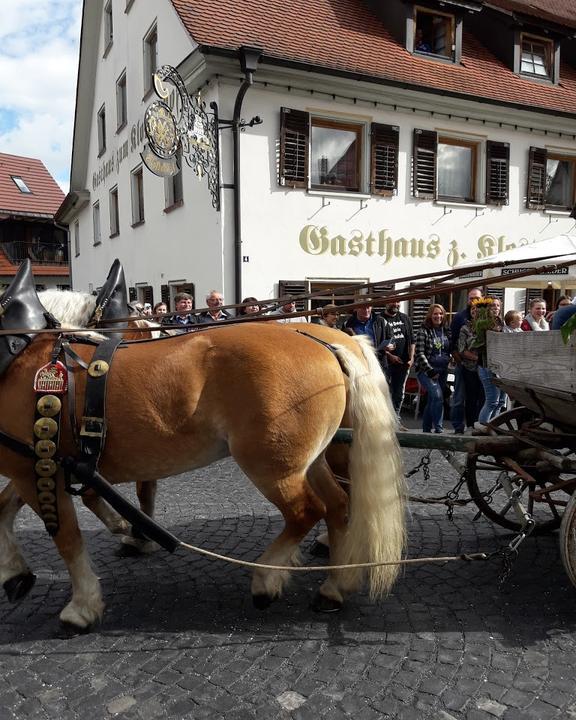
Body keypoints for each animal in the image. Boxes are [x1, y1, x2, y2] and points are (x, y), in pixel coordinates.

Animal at [0, 262, 404, 628]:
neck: (18, 356)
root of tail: (328, 344)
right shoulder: (38, 461)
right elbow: (7, 509)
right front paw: (16, 574)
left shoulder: (36, 468)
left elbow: (66, 536)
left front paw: (82, 604)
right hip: (311, 458)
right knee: (338, 505)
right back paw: (335, 586)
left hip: (272, 465)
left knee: (307, 511)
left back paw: (267, 579)